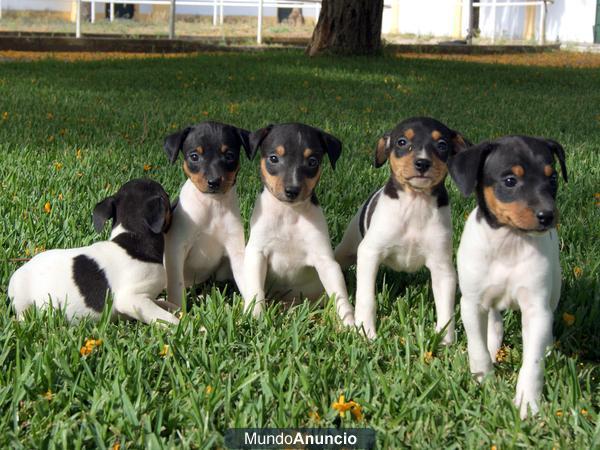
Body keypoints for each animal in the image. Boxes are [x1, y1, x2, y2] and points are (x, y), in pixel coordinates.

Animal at [8, 178, 178, 324]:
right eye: (167, 196)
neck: (132, 235)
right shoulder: (132, 299)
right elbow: (168, 319)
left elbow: (164, 305)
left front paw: (172, 306)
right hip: (23, 301)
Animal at [162, 121, 251, 308]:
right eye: (194, 156)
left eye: (229, 155)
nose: (214, 182)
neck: (212, 205)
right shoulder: (176, 248)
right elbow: (176, 285)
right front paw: (178, 310)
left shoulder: (236, 250)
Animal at [243, 124, 356, 326]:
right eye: (274, 158)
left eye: (312, 161)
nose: (292, 190)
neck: (289, 214)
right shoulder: (257, 252)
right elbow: (256, 290)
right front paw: (255, 316)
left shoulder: (325, 261)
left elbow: (340, 296)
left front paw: (350, 324)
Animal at [332, 116, 468, 342]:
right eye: (402, 142)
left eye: (442, 144)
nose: (422, 163)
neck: (415, 203)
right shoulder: (370, 253)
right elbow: (366, 297)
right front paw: (366, 330)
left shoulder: (442, 267)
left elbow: (446, 307)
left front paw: (445, 339)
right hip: (348, 248)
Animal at [450, 135, 568, 420]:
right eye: (510, 181)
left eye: (552, 178)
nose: (548, 216)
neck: (509, 244)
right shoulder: (471, 304)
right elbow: (477, 347)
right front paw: (484, 380)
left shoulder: (536, 308)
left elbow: (533, 362)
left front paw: (528, 403)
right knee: (494, 325)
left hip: (553, 291)